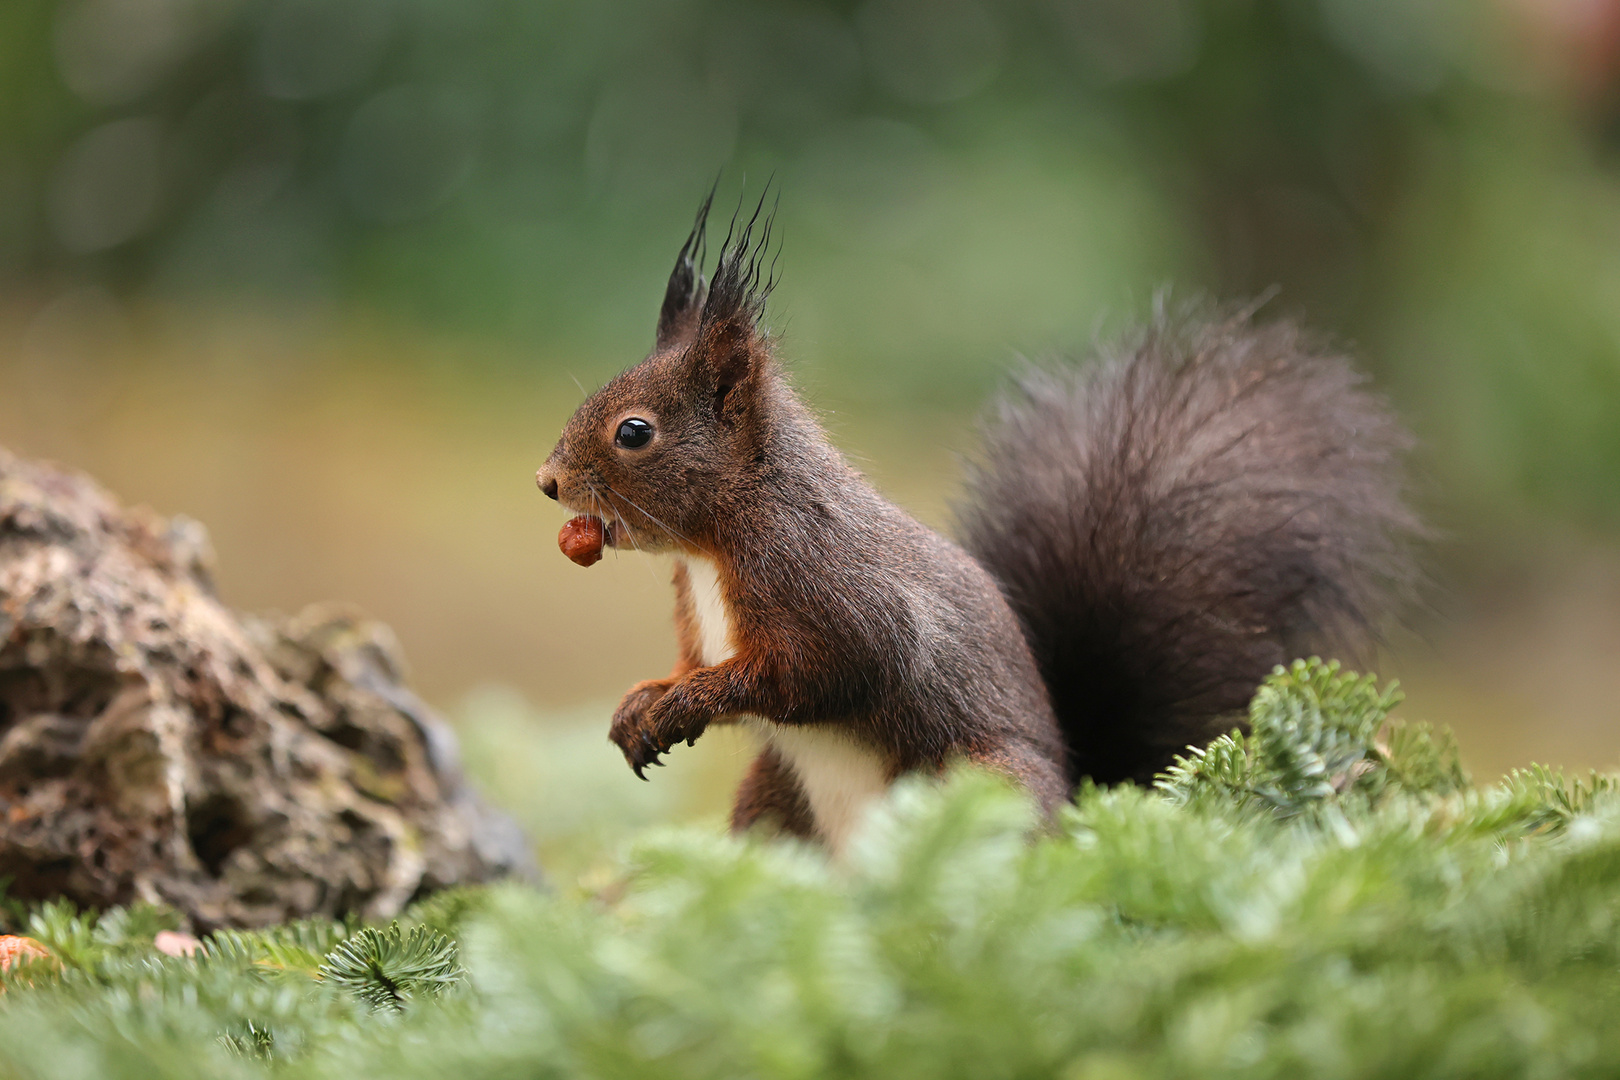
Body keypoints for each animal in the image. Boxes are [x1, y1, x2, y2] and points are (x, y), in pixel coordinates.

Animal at [534, 190, 1419, 854]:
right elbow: (692, 661)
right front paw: (644, 699)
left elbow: (819, 670)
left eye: (635, 432)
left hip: (984, 785)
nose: (547, 482)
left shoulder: (826, 584)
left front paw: (689, 701)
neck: (715, 543)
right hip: (772, 801)